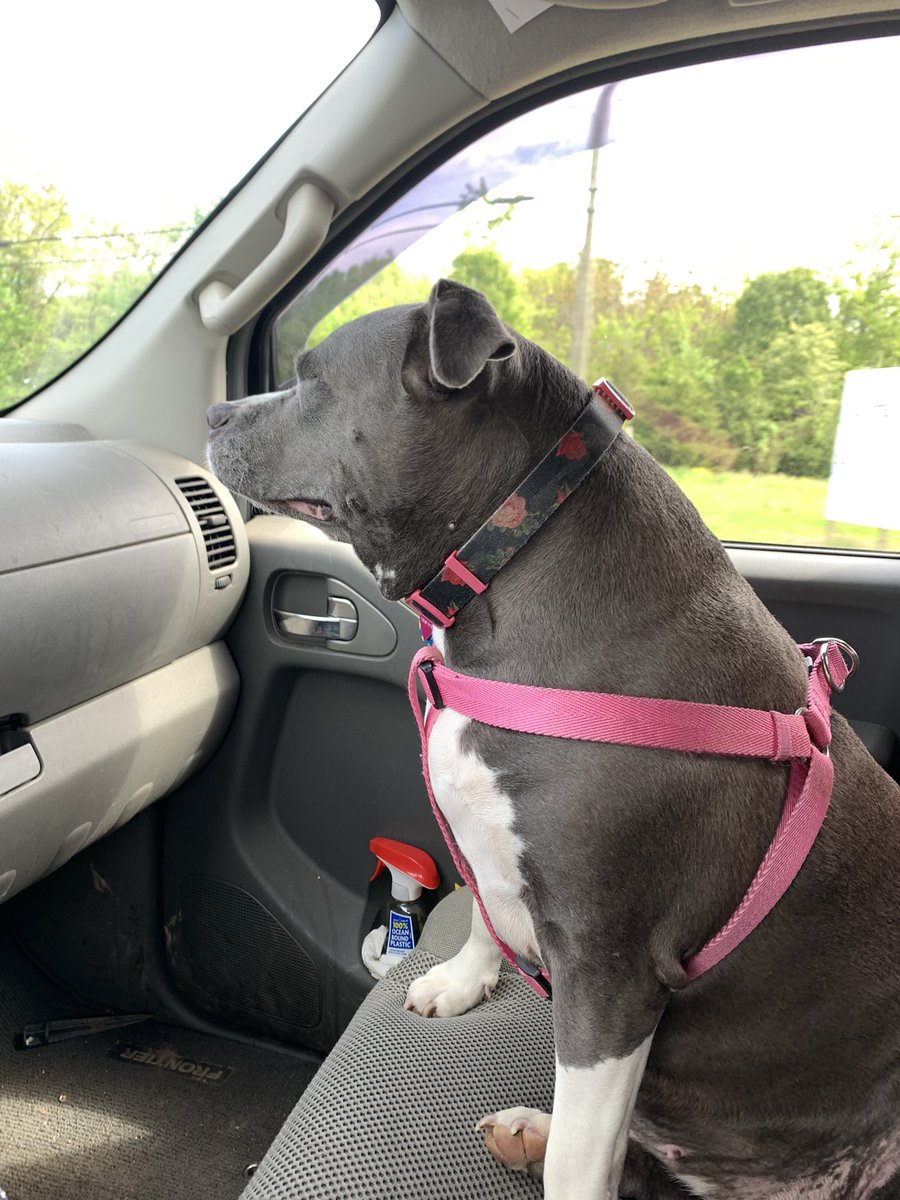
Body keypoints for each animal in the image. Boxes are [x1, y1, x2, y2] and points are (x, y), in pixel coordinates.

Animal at [207, 280, 900, 1200]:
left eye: (312, 378)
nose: (213, 411)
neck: (511, 554)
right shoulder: (481, 834)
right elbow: (482, 905)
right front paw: (461, 981)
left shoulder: (611, 971)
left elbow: (582, 1154)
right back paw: (528, 1131)